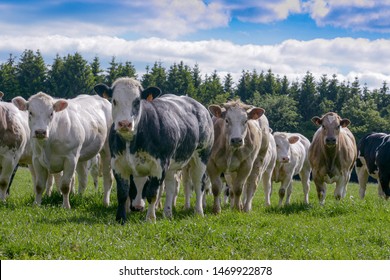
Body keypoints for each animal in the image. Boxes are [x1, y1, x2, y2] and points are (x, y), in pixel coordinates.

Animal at [93, 77, 213, 224]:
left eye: (137, 101)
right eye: (114, 101)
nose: (125, 124)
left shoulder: (159, 166)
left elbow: (152, 194)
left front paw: (150, 218)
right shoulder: (118, 164)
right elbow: (122, 193)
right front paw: (120, 218)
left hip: (201, 157)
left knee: (198, 184)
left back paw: (199, 211)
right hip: (172, 164)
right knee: (171, 186)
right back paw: (168, 213)